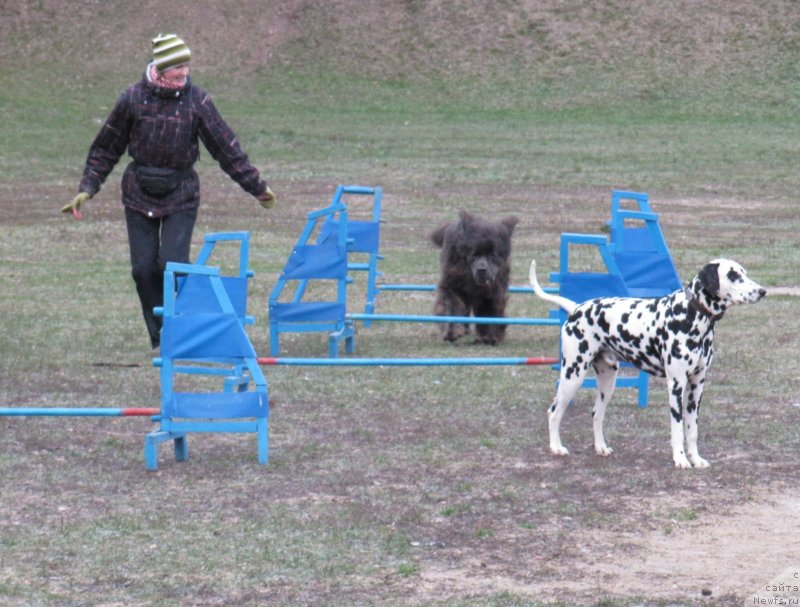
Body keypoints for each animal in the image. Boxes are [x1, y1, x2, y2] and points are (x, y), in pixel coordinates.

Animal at [432, 210, 520, 344]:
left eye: (492, 254)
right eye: (474, 253)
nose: (482, 270)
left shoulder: (493, 292)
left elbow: (490, 311)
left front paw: (490, 336)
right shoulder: (451, 284)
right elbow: (451, 305)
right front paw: (452, 332)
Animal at [528, 258, 764, 468]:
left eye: (744, 273)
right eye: (733, 275)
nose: (762, 291)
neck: (691, 313)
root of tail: (577, 308)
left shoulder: (697, 386)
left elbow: (692, 430)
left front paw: (695, 459)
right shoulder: (676, 385)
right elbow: (678, 429)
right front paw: (680, 459)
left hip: (607, 382)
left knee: (596, 414)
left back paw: (600, 447)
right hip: (573, 375)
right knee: (554, 412)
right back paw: (556, 447)